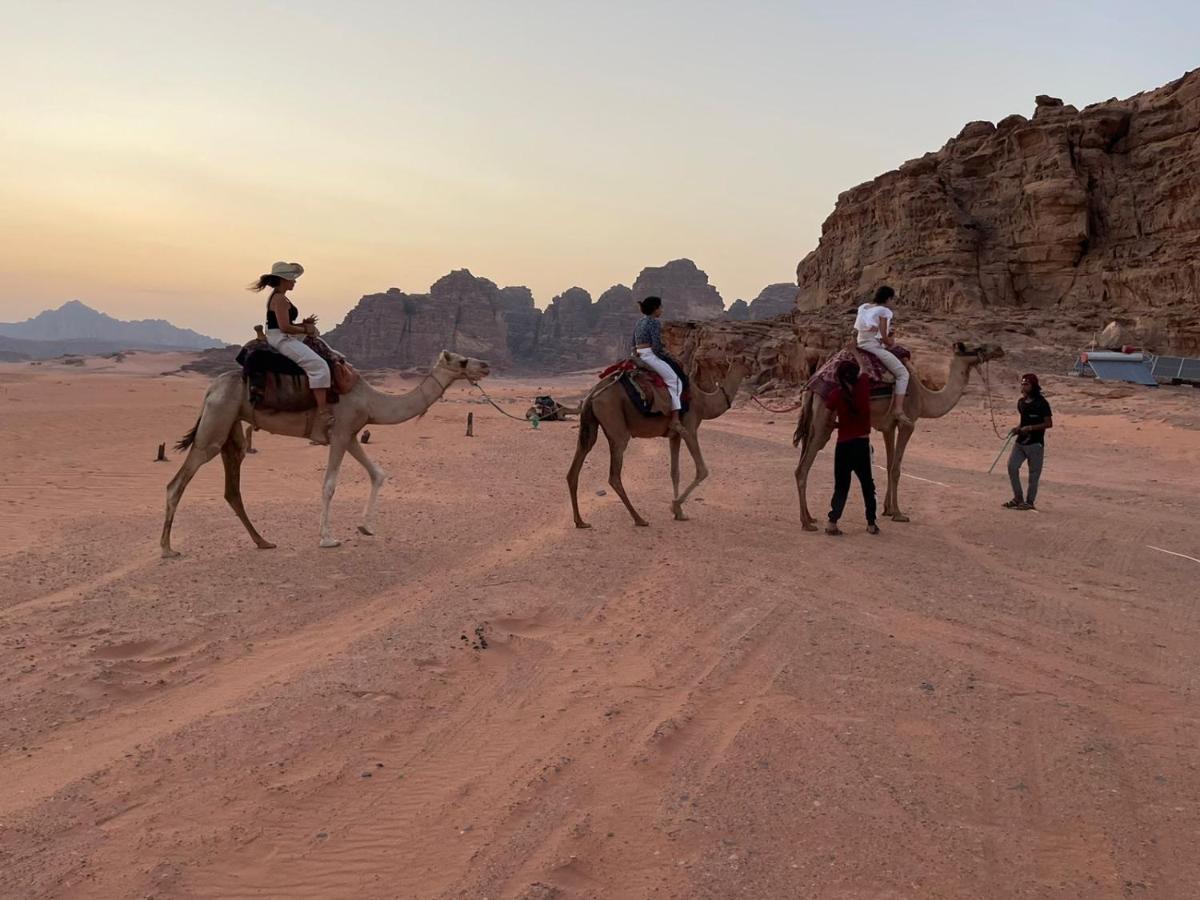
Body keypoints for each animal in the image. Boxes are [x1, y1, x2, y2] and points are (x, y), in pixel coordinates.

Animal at [162, 350, 489, 556]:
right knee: (177, 482)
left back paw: (263, 541)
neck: (371, 401)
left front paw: (366, 527)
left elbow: (378, 473)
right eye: (462, 361)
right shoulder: (341, 432)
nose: (485, 366)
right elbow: (329, 485)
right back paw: (167, 549)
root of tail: (210, 389)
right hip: (216, 423)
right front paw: (327, 538)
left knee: (232, 486)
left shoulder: (351, 434)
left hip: (230, 427)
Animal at [566, 360, 744, 528]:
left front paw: (679, 513)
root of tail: (592, 394)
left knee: (577, 464)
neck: (704, 402)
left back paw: (580, 521)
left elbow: (675, 472)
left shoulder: (674, 436)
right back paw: (639, 519)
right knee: (614, 475)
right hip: (615, 423)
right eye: (749, 360)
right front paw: (675, 505)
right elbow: (702, 470)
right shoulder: (689, 428)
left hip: (589, 423)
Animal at [796, 340, 1003, 532]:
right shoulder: (907, 423)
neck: (924, 398)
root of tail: (812, 385)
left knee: (802, 461)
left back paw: (810, 517)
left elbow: (889, 465)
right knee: (803, 467)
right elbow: (896, 468)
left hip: (813, 419)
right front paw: (898, 513)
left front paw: (887, 509)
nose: (999, 349)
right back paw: (806, 523)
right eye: (977, 347)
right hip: (824, 419)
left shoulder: (889, 426)